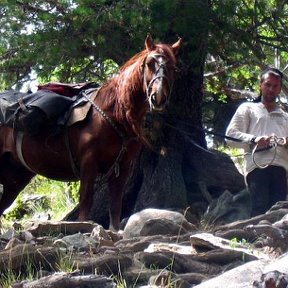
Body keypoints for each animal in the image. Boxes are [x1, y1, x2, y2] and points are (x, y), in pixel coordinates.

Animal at [0, 33, 181, 231]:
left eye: (173, 68)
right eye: (150, 63)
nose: (158, 97)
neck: (114, 114)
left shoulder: (122, 167)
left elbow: (115, 204)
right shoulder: (89, 162)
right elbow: (86, 199)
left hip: (15, 178)